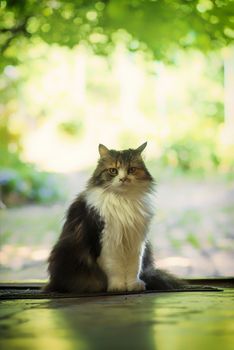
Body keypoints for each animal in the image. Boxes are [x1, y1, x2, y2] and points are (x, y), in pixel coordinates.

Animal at [44, 142, 186, 292]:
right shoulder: (106, 240)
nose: (123, 179)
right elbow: (114, 268)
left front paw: (133, 285)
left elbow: (134, 267)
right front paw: (118, 287)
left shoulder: (136, 241)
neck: (123, 201)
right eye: (113, 170)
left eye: (131, 170)